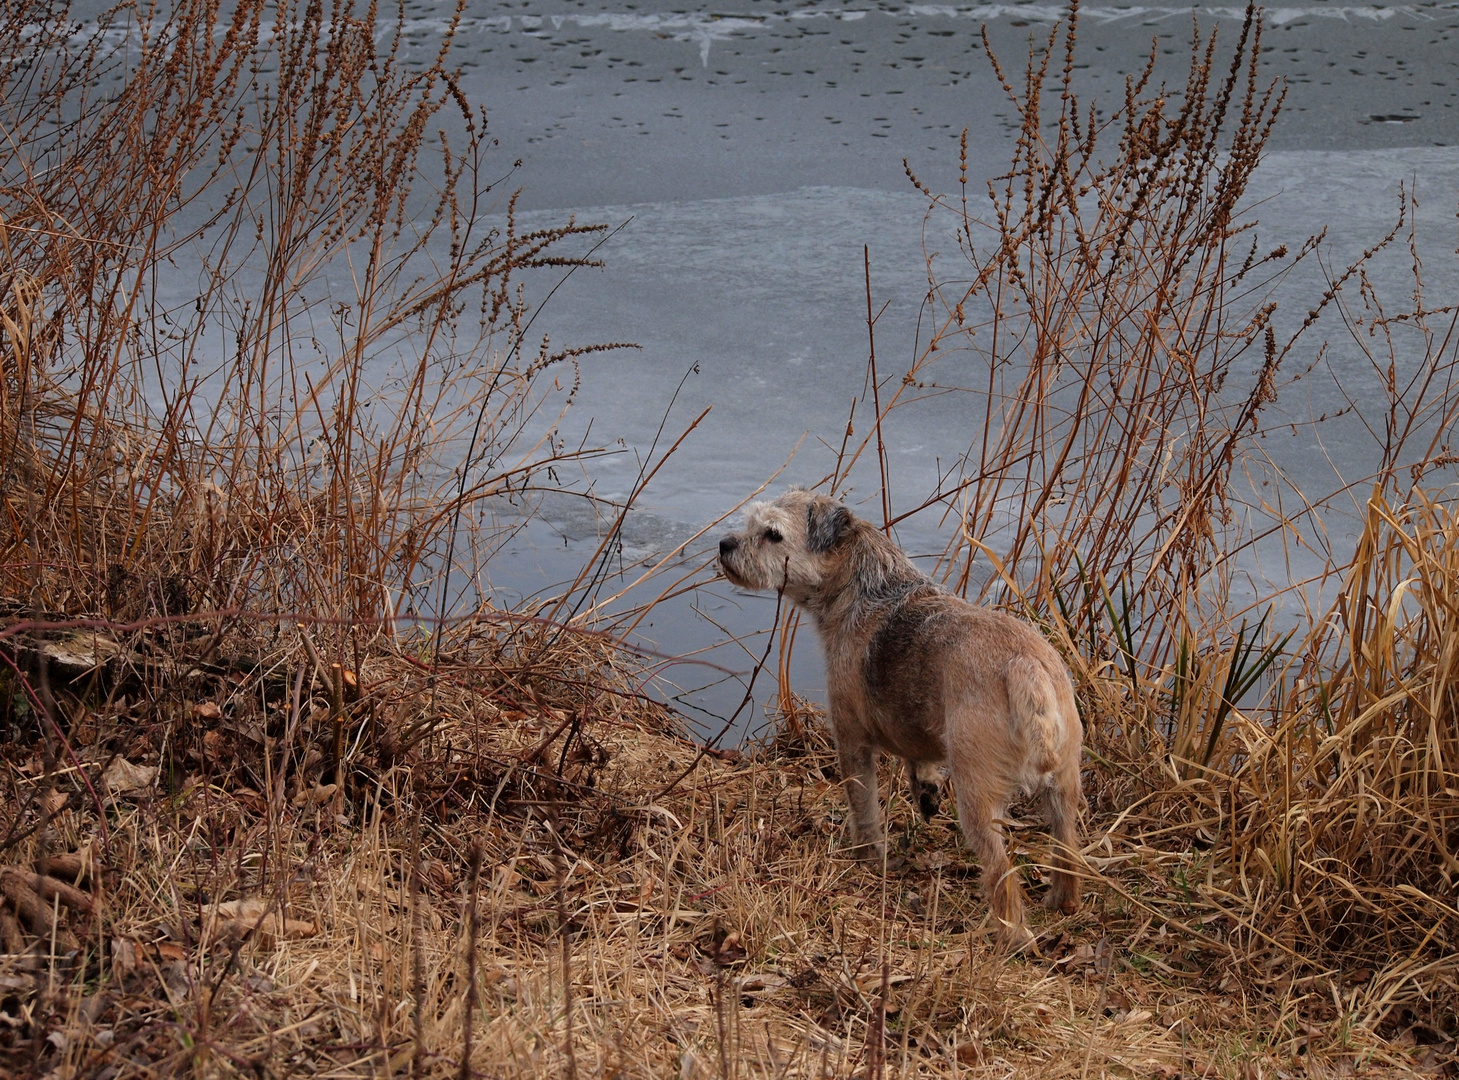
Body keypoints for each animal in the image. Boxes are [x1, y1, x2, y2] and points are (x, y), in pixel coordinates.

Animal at [717, 490, 1085, 945]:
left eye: (772, 534)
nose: (725, 544)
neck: (864, 589)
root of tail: (1025, 666)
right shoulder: (917, 729)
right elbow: (920, 760)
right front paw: (924, 792)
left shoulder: (852, 739)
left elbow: (863, 806)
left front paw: (867, 856)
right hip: (1065, 786)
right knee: (1066, 847)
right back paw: (1061, 902)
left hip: (978, 795)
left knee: (1002, 871)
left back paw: (1011, 933)